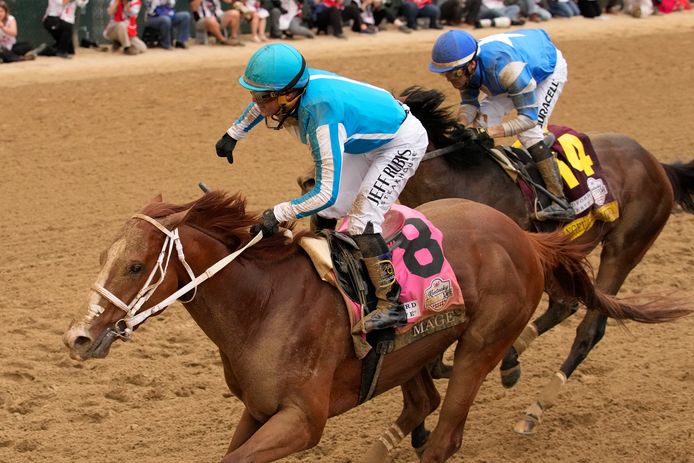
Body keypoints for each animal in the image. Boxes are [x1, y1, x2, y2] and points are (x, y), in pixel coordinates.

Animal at [61, 192, 692, 463]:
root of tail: (525, 237)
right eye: (102, 255)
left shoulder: (301, 419)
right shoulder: (260, 409)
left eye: (135, 266)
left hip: (480, 344)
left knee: (444, 434)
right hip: (408, 354)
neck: (262, 304)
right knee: (423, 402)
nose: (78, 338)